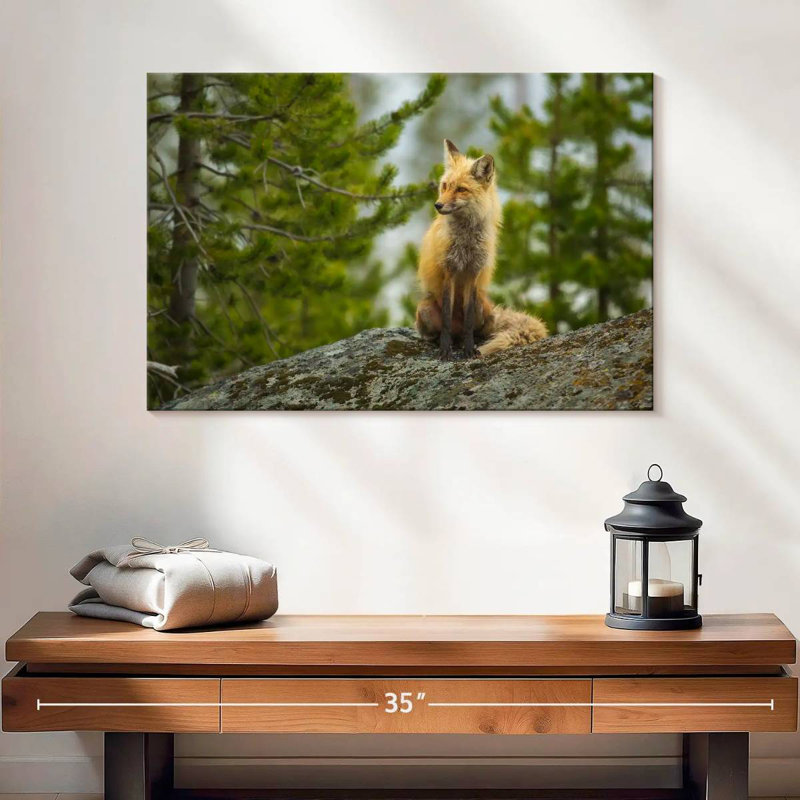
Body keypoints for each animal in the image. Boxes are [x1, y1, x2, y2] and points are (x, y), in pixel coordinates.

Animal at [415, 139, 548, 360]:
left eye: (461, 189)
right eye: (445, 186)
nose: (438, 205)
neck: (466, 241)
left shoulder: (473, 272)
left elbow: (468, 321)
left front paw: (470, 349)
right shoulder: (449, 270)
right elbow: (446, 320)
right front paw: (444, 349)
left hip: (482, 309)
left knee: (477, 331)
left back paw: (467, 342)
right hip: (424, 310)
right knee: (442, 330)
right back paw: (441, 340)